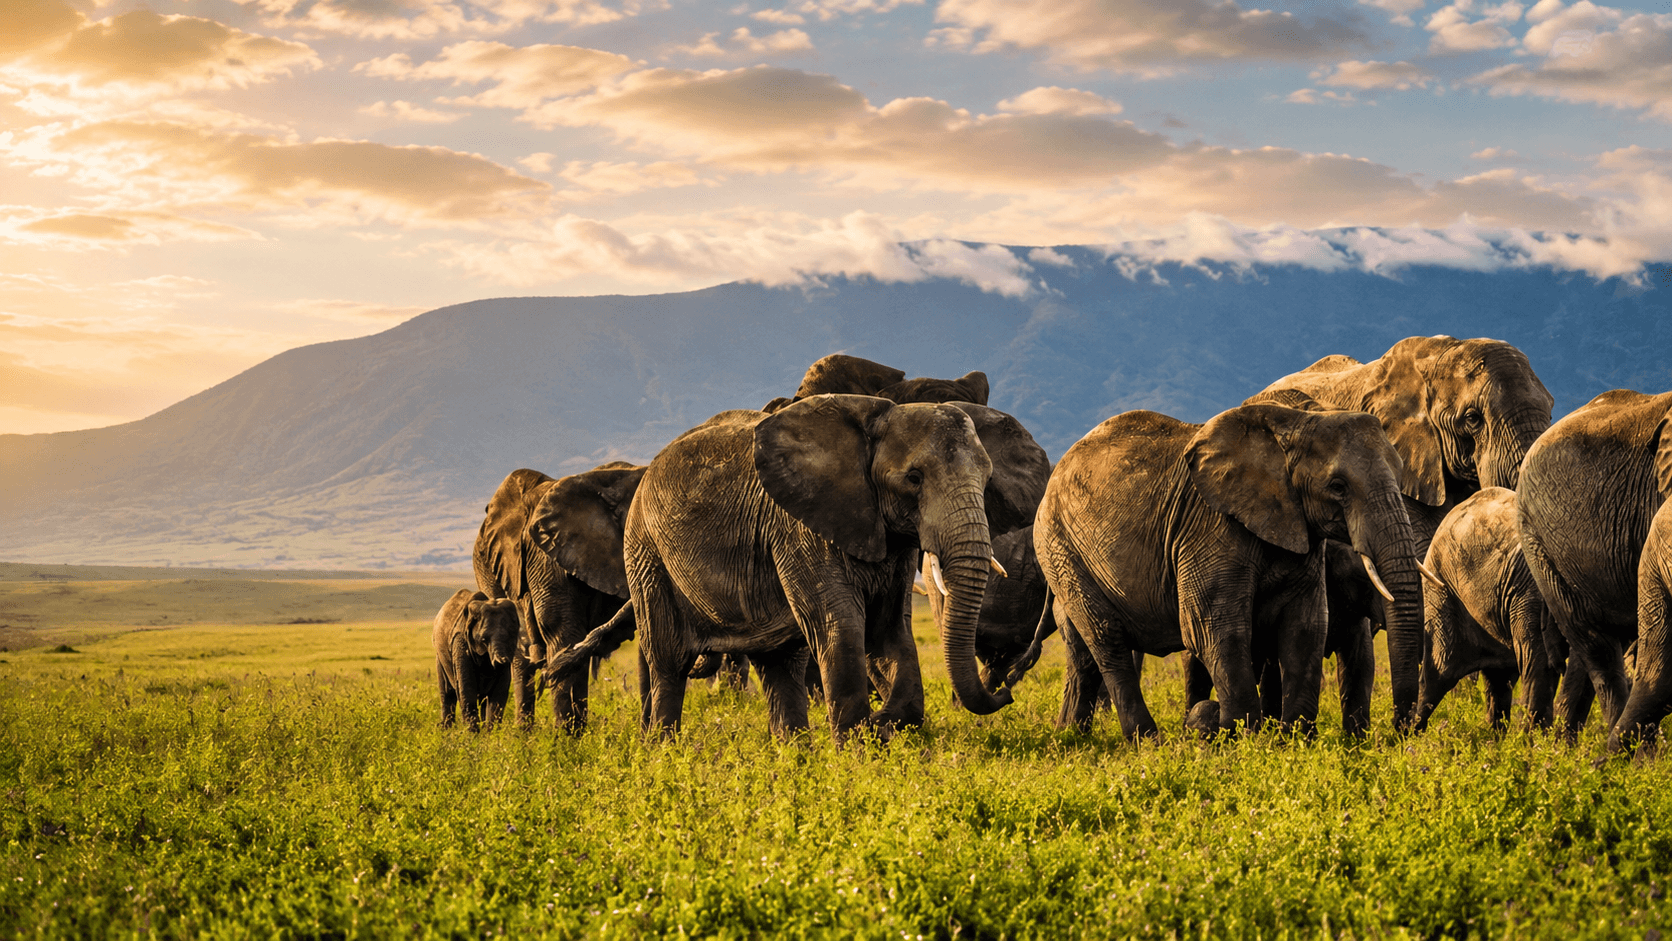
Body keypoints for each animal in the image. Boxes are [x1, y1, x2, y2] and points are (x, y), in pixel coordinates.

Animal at [433, 589, 520, 731]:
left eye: (511, 636)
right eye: (484, 640)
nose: (501, 661)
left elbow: (499, 693)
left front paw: (492, 734)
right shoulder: (461, 641)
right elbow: (467, 689)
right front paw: (472, 735)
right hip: (439, 657)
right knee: (447, 693)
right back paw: (446, 731)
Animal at [622, 395, 1035, 740]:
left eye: (988, 479)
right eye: (914, 478)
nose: (1005, 691)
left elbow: (888, 632)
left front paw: (884, 723)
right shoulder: (800, 529)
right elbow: (841, 628)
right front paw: (861, 747)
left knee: (780, 666)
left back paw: (796, 758)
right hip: (646, 555)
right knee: (669, 663)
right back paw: (664, 753)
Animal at [1032, 404, 1424, 740]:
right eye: (1338, 487)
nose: (1400, 732)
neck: (1294, 423)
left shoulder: (1301, 532)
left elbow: (1305, 628)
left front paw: (1295, 742)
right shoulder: (1211, 528)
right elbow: (1214, 628)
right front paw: (1244, 740)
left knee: (1084, 656)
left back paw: (1070, 737)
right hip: (1061, 548)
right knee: (1107, 640)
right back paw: (1147, 742)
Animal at [1414, 488, 1562, 731]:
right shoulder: (1531, 588)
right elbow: (1539, 660)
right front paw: (1534, 740)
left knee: (1499, 679)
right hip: (1441, 588)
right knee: (1438, 674)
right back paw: (1407, 735)